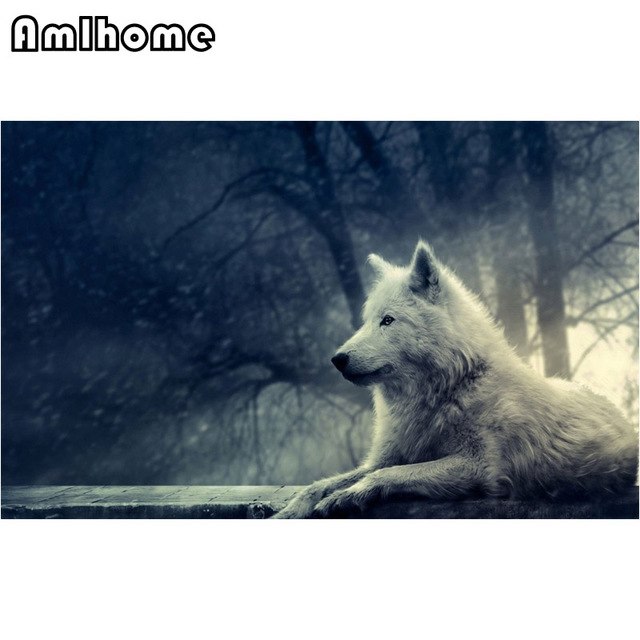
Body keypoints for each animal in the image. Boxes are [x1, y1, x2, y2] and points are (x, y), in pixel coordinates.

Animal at [274, 240, 639, 518]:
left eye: (388, 320)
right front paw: (291, 510)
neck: (449, 388)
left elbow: (388, 474)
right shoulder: (388, 455)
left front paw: (346, 496)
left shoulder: (479, 468)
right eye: (367, 321)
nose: (337, 359)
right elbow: (321, 483)